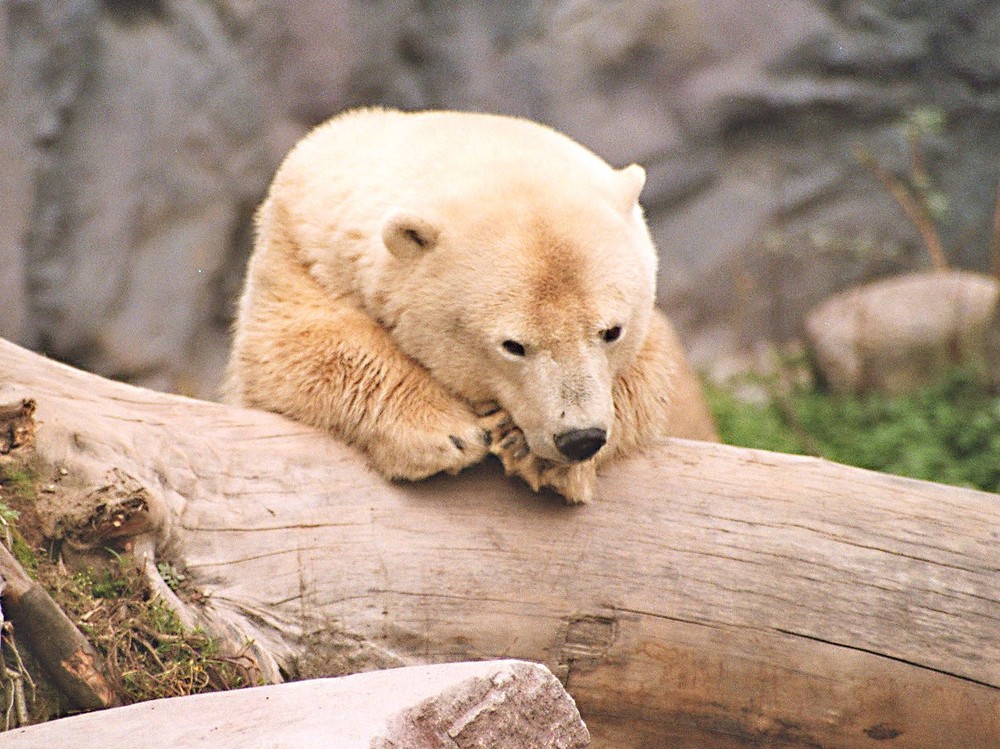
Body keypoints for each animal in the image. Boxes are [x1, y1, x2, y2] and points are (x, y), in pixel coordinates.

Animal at [223, 106, 716, 502]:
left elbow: (649, 377)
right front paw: (446, 433)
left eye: (612, 331)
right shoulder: (298, 247)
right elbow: (287, 347)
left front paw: (526, 449)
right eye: (513, 345)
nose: (580, 439)